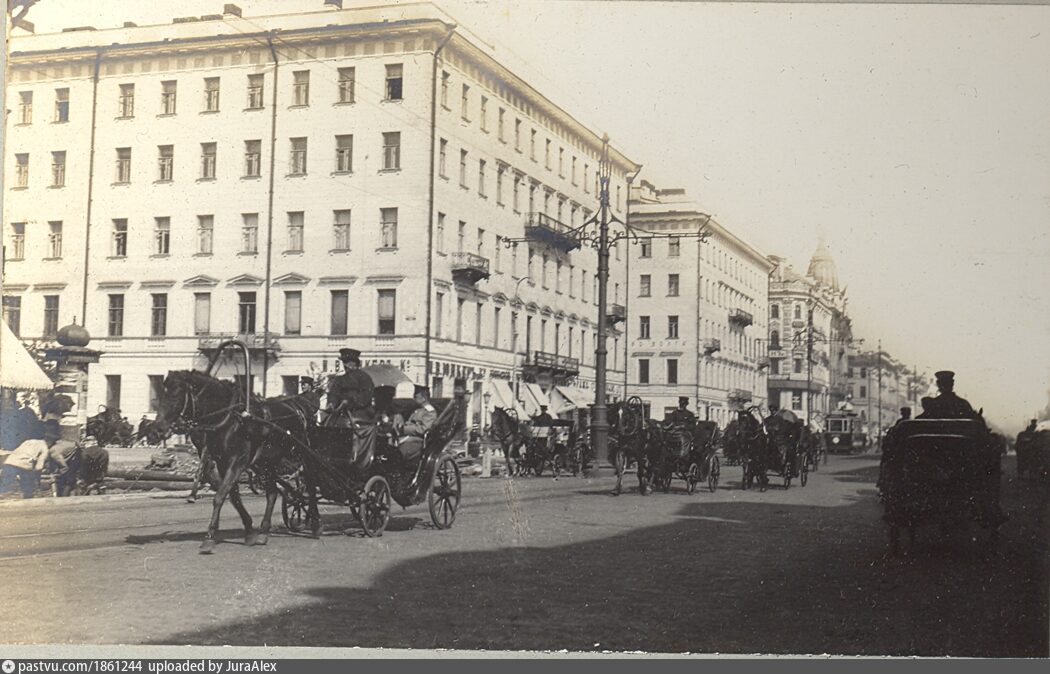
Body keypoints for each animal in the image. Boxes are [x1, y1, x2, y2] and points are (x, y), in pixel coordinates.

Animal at [148, 367, 319, 550]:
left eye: (175, 394)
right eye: (161, 393)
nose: (156, 430)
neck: (230, 420)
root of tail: (297, 409)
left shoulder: (237, 462)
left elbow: (220, 496)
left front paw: (210, 537)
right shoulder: (222, 463)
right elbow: (233, 496)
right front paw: (249, 530)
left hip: (301, 453)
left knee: (310, 483)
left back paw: (315, 523)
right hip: (266, 463)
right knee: (273, 493)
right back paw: (264, 531)